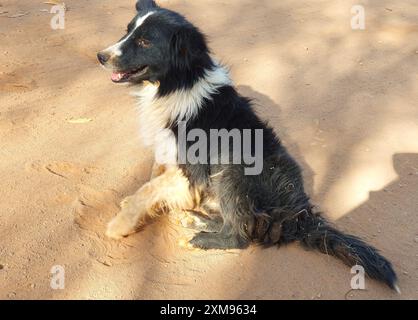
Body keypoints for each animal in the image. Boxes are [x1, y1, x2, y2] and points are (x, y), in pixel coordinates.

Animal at [97, 0, 398, 292]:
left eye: (145, 41)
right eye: (127, 31)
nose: (100, 56)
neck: (176, 85)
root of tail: (298, 216)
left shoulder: (192, 170)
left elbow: (149, 189)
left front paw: (119, 225)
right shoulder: (166, 151)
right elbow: (152, 177)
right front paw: (134, 206)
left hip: (233, 167)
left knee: (240, 235)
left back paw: (198, 239)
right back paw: (195, 219)